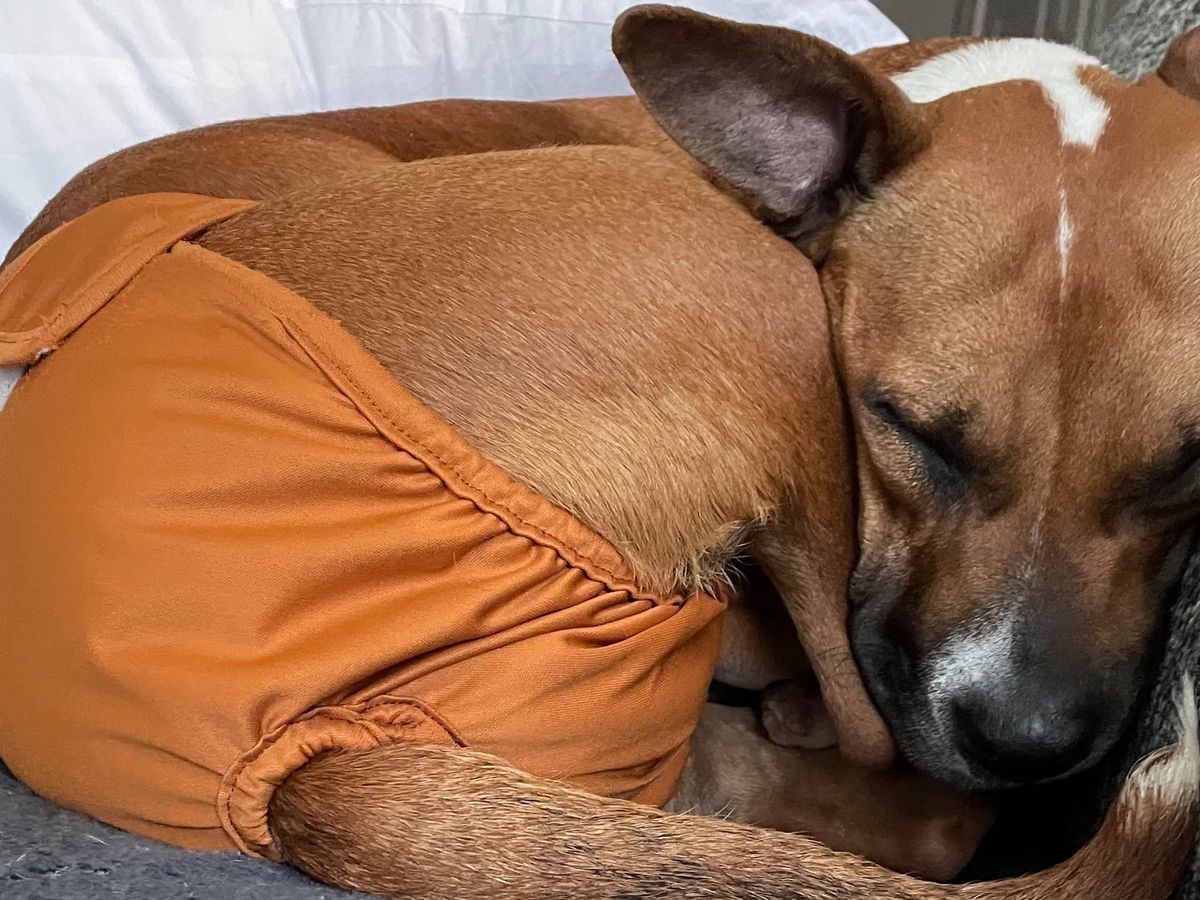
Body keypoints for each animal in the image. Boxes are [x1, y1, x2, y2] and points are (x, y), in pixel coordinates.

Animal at [1, 5, 1198, 899]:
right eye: (904, 427)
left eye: (1184, 469)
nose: (1026, 743)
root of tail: (298, 752)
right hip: (756, 294)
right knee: (898, 778)